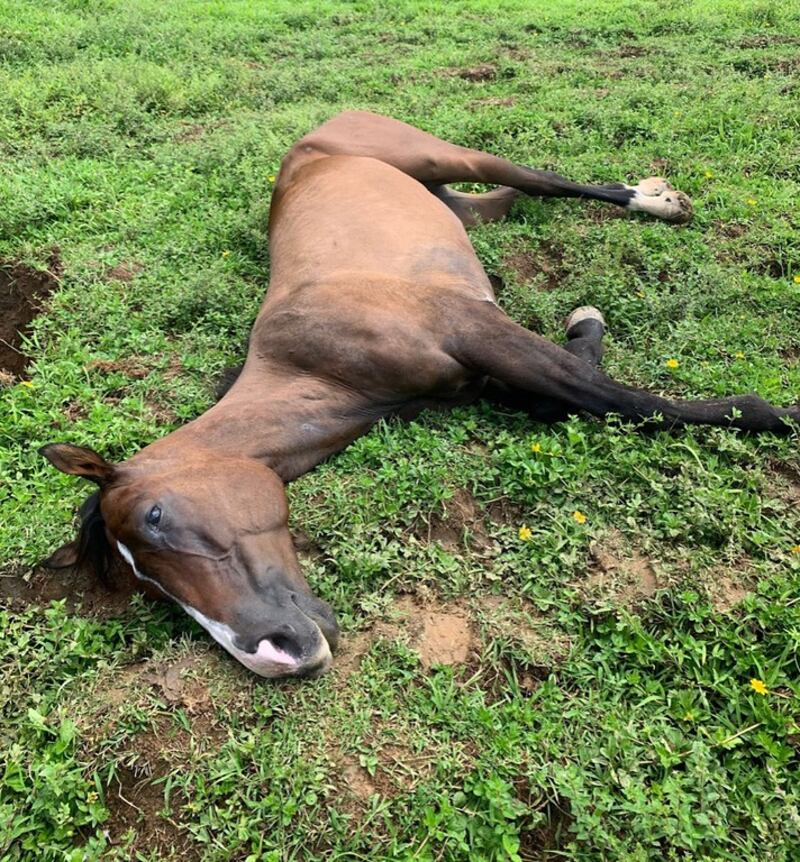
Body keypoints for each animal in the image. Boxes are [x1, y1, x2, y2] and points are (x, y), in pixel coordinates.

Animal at [39, 111, 800, 680]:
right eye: (146, 585)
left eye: (157, 517)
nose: (270, 655)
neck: (310, 356)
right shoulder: (483, 369)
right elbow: (568, 393)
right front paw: (587, 323)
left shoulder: (474, 327)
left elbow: (610, 396)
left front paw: (772, 414)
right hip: (448, 201)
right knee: (512, 203)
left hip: (448, 157)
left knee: (543, 180)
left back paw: (656, 201)